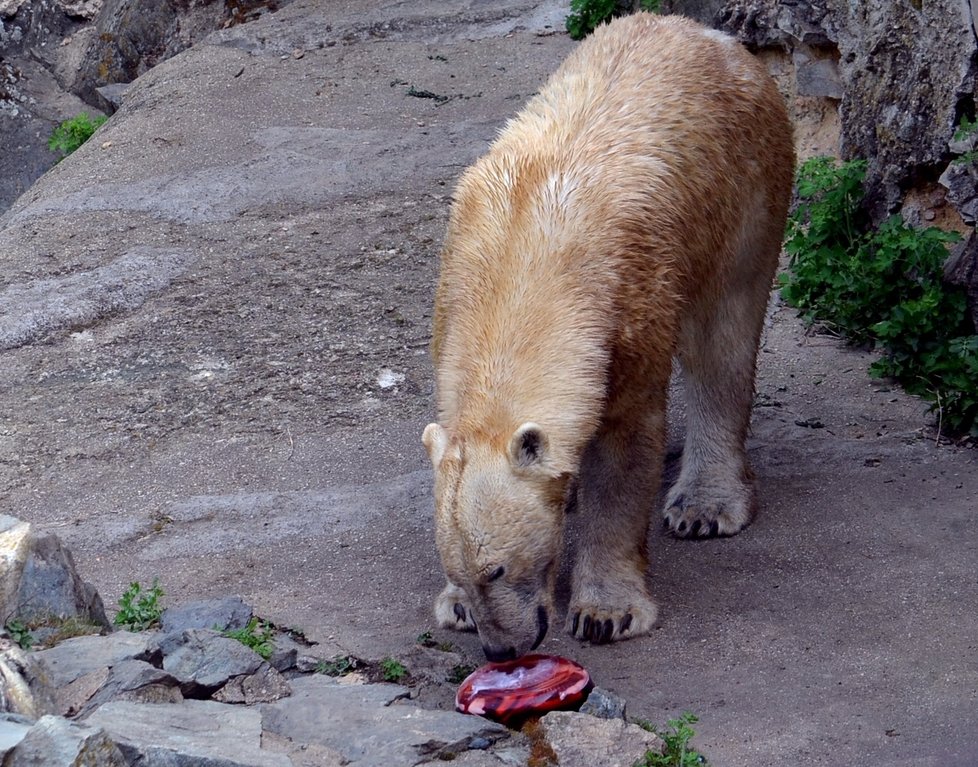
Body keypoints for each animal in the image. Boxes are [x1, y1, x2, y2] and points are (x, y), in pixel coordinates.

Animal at [420, 10, 792, 660]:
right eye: (461, 570)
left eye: (498, 568)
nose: (502, 652)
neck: (522, 258)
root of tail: (709, 36)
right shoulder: (452, 295)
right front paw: (456, 609)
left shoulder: (626, 308)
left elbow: (623, 450)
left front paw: (605, 612)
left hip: (746, 188)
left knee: (722, 336)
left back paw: (705, 504)